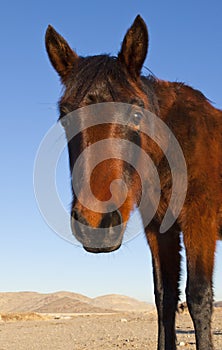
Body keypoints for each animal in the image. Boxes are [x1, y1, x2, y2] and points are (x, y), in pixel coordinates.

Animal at [45, 15, 222, 348]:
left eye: (137, 113)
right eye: (64, 116)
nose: (96, 224)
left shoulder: (199, 224)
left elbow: (198, 296)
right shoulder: (159, 230)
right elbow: (165, 298)